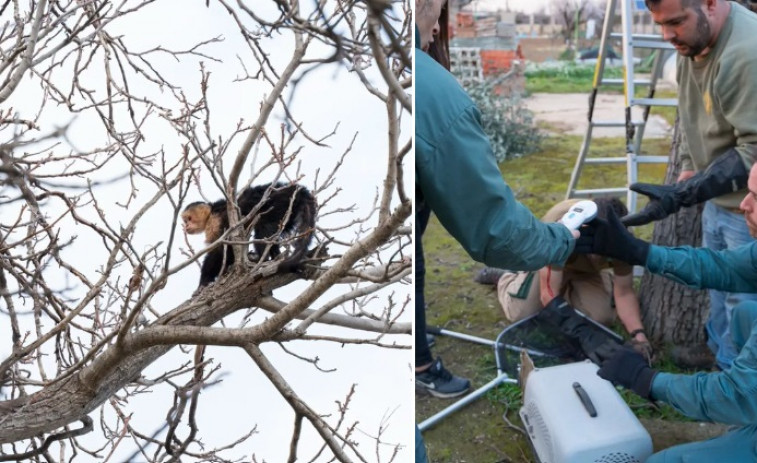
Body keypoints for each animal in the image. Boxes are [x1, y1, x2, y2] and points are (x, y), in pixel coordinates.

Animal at [182, 182, 316, 288]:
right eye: (185, 221)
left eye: (189, 218)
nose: (186, 226)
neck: (211, 213)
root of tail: (294, 188)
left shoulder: (216, 222)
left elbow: (222, 250)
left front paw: (204, 280)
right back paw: (274, 256)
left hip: (280, 202)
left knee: (264, 226)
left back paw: (261, 258)